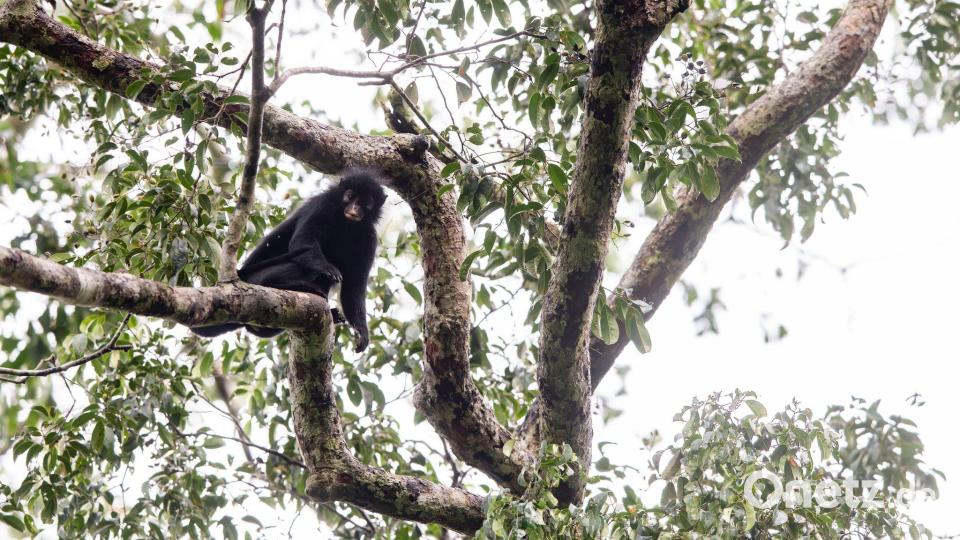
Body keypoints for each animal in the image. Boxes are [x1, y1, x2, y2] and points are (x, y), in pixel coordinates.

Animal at [191, 170, 387, 352]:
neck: (346, 223)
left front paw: (362, 332)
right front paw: (327, 268)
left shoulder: (369, 238)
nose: (354, 209)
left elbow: (354, 287)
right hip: (257, 278)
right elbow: (303, 242)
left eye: (366, 203)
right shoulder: (322, 205)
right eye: (350, 196)